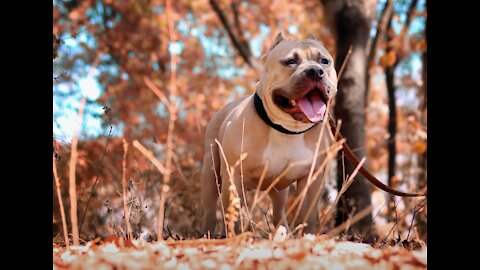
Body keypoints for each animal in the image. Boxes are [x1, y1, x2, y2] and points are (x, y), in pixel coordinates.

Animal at [201, 33, 340, 236]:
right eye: (291, 61)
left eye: (324, 61)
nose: (315, 71)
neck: (287, 129)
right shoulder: (234, 177)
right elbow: (234, 215)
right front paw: (237, 237)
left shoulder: (312, 180)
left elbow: (307, 216)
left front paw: (306, 236)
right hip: (211, 173)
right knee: (210, 208)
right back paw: (206, 234)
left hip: (279, 191)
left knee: (279, 212)